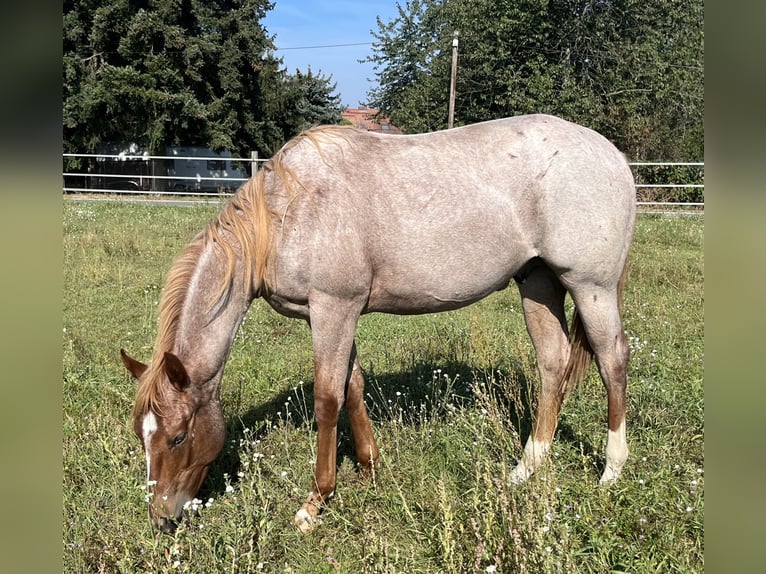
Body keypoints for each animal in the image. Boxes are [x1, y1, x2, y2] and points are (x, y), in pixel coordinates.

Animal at [120, 112, 636, 536]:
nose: (161, 518)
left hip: (590, 286)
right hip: (538, 283)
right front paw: (369, 469)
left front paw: (316, 501)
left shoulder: (333, 308)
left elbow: (327, 399)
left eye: (178, 436)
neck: (288, 211)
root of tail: (613, 155)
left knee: (612, 361)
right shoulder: (334, 314)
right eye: (142, 435)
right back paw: (526, 468)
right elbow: (353, 387)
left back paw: (612, 470)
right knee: (553, 364)